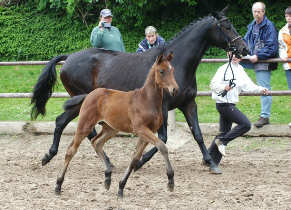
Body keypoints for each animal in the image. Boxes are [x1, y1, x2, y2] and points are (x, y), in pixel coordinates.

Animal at [32, 6, 251, 174]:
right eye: (227, 26)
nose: (245, 49)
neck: (178, 65)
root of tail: (69, 58)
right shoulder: (162, 107)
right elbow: (162, 138)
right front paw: (139, 162)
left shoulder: (189, 104)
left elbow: (196, 133)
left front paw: (211, 163)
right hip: (83, 101)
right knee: (77, 127)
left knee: (67, 124)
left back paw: (54, 156)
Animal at [54, 51, 178, 198]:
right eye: (161, 71)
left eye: (172, 70)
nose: (175, 89)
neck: (146, 100)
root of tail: (89, 94)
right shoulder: (141, 129)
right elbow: (162, 146)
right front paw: (170, 181)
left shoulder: (148, 132)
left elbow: (135, 158)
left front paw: (121, 187)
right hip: (85, 125)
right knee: (71, 150)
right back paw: (58, 185)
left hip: (111, 129)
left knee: (96, 142)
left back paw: (108, 177)